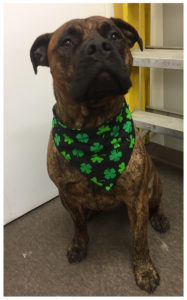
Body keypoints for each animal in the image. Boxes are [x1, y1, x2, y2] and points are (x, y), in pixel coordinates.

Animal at [30, 15, 169, 292]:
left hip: (154, 184)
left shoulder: (136, 199)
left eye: (115, 36)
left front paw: (144, 271)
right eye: (66, 42)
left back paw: (159, 218)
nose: (98, 47)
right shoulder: (66, 195)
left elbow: (140, 240)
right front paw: (78, 244)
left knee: (156, 203)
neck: (92, 132)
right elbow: (78, 225)